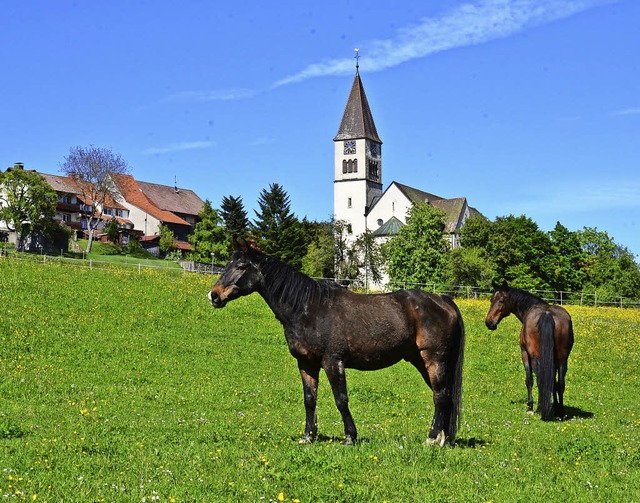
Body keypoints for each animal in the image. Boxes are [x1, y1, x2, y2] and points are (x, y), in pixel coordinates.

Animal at [210, 242, 464, 446]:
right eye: (227, 264)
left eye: (242, 266)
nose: (214, 295)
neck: (309, 308)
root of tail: (443, 300)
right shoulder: (306, 364)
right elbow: (309, 400)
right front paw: (308, 436)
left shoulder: (333, 362)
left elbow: (341, 400)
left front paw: (350, 436)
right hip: (422, 361)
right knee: (444, 396)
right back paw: (444, 439)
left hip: (434, 360)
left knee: (440, 396)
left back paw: (431, 439)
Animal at [484, 284, 576, 422]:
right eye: (491, 300)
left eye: (501, 301)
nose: (489, 322)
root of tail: (547, 314)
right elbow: (553, 382)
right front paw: (554, 406)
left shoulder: (525, 354)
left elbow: (529, 380)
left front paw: (530, 407)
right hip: (562, 359)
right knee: (559, 383)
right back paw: (560, 412)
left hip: (535, 357)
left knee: (539, 379)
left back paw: (540, 409)